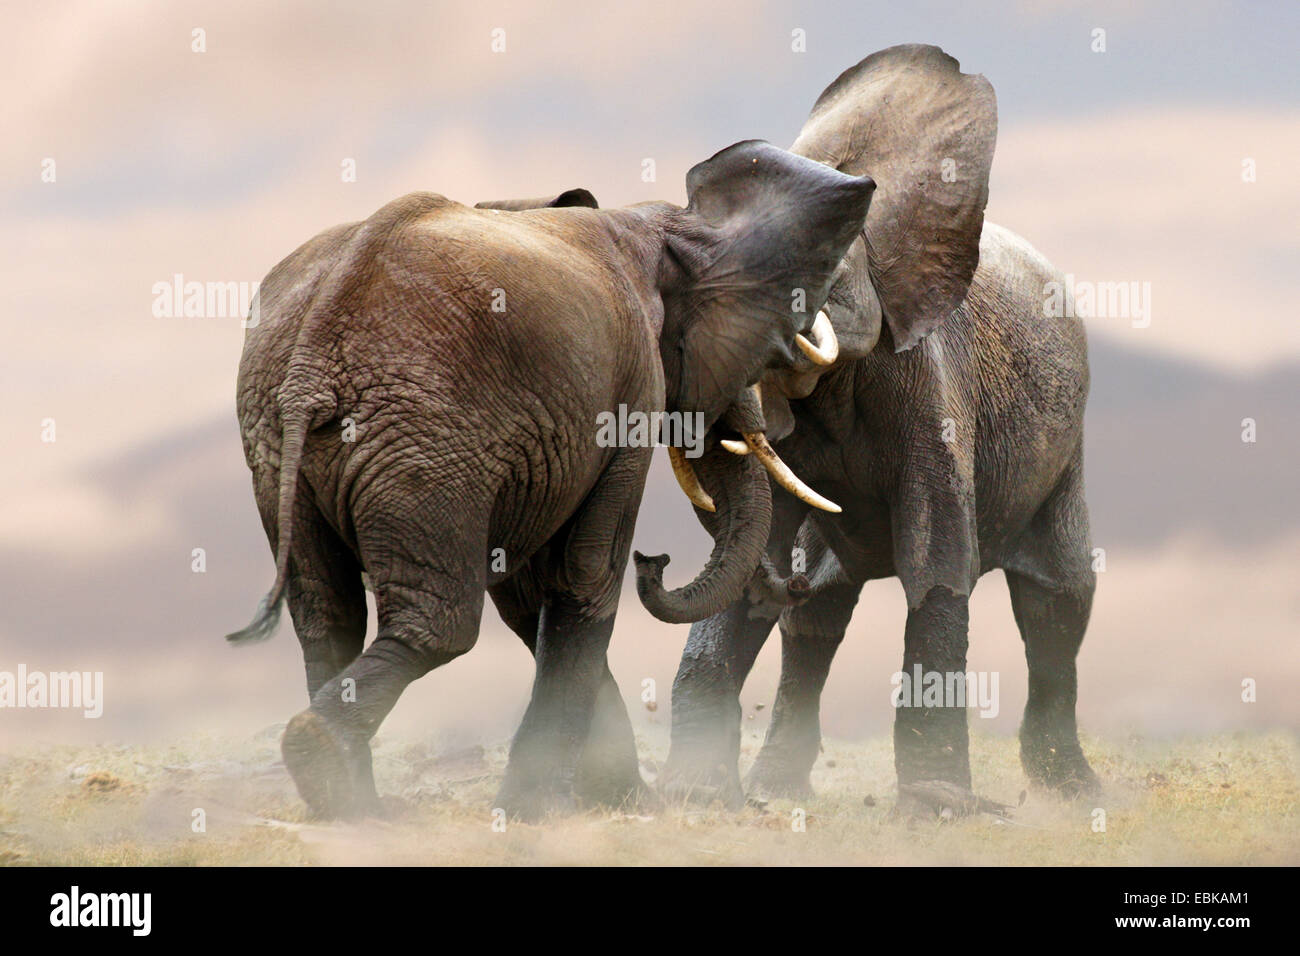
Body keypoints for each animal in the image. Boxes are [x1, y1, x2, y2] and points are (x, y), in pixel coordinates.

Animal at [223, 143, 873, 822]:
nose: (657, 561)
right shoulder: (630, 391)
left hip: (282, 445)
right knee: (441, 622)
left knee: (327, 617)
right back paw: (324, 761)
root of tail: (314, 353)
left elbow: (530, 592)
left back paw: (352, 807)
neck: (659, 224)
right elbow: (585, 574)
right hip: (425, 442)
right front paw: (542, 808)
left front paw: (604, 798)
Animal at [655, 42, 1102, 806]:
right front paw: (699, 800)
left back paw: (1074, 793)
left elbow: (938, 561)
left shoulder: (929, 378)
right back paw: (778, 789)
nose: (647, 563)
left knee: (1059, 604)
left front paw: (938, 809)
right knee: (816, 620)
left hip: (1066, 452)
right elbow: (753, 557)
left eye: (812, 274)